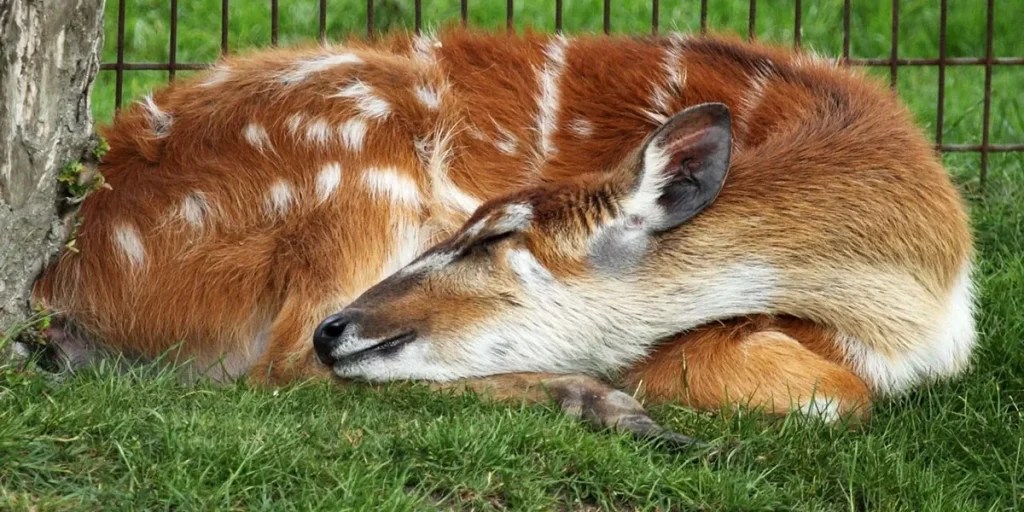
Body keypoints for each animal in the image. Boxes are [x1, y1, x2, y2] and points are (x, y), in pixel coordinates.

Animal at [32, 28, 975, 445]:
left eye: (493, 239)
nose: (346, 325)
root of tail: (60, 281)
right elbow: (829, 392)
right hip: (359, 166)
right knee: (284, 369)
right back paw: (599, 402)